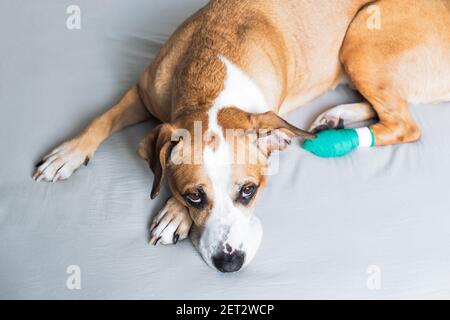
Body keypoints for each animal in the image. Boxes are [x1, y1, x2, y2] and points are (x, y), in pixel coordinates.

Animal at [32, 0, 450, 272]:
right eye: (194, 196)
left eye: (249, 191)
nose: (229, 262)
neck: (211, 77)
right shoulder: (141, 92)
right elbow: (101, 118)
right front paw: (67, 154)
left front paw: (171, 216)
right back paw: (337, 117)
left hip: (363, 34)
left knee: (404, 123)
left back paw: (339, 136)